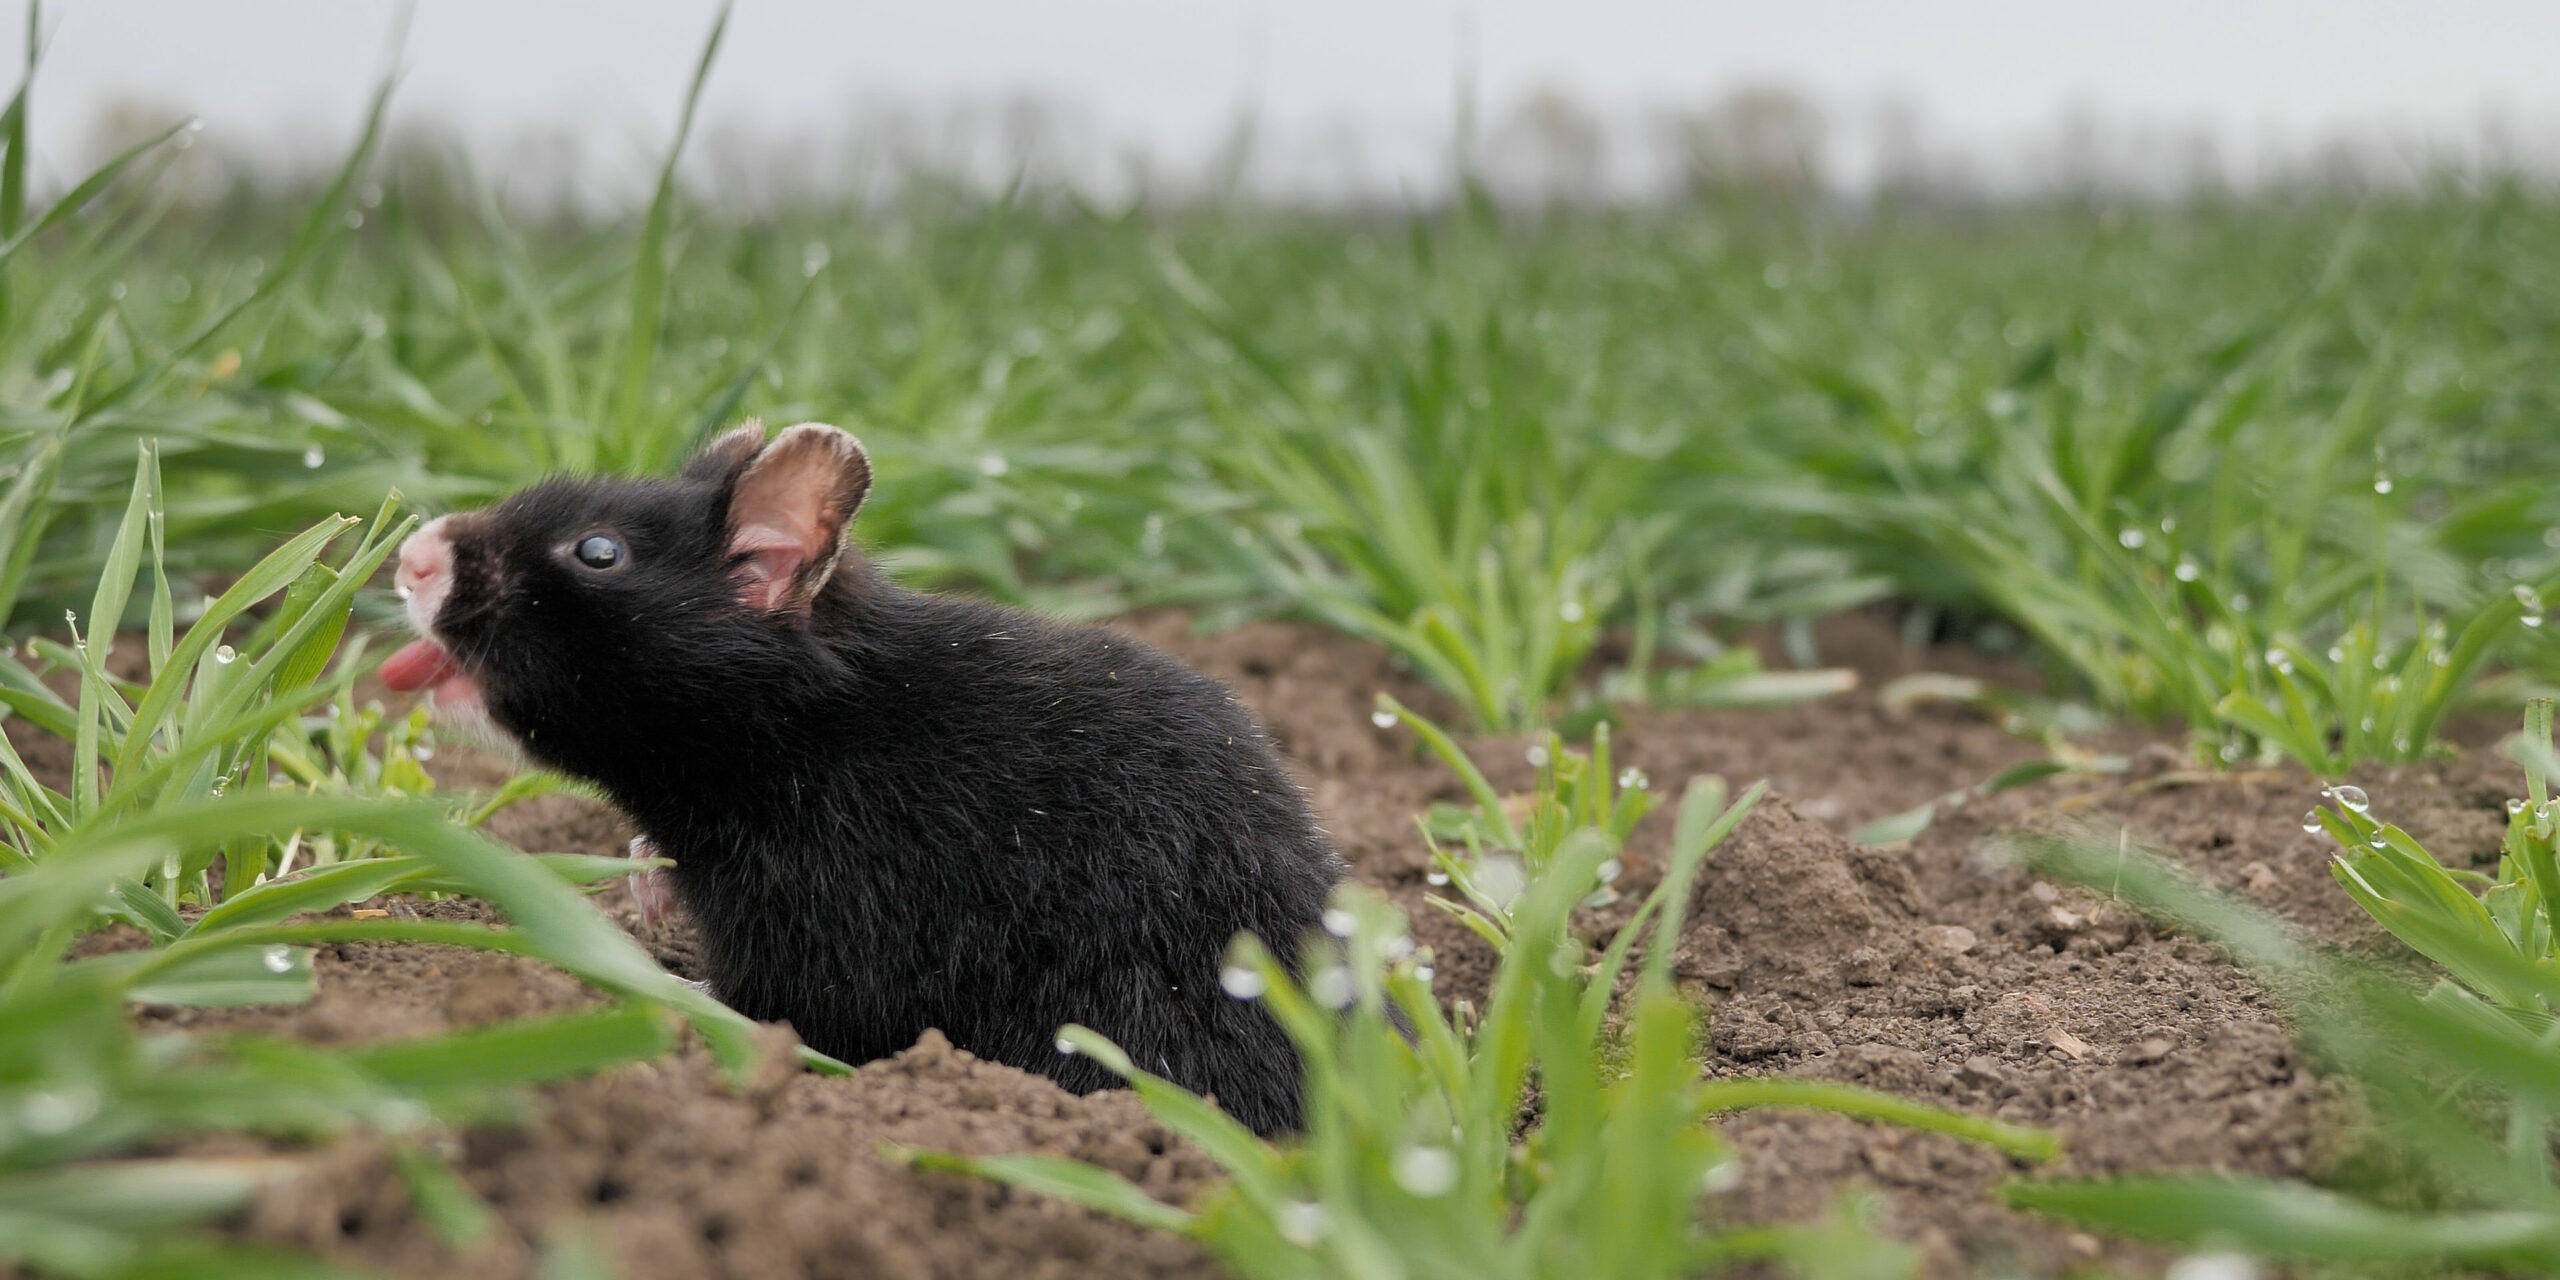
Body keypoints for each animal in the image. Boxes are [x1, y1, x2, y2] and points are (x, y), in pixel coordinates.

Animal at [384, 419, 1341, 1131]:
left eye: (597, 552)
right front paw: (645, 886)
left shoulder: (837, 914)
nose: (410, 557)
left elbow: (774, 1011)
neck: (798, 740)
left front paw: (651, 992)